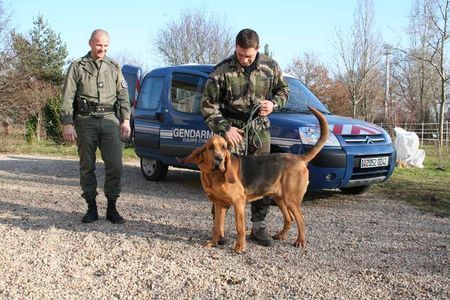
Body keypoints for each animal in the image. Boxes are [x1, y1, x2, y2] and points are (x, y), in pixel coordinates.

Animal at [182, 106, 326, 252]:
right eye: (210, 148)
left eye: (224, 148)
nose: (219, 159)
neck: (214, 175)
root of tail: (299, 158)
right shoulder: (219, 205)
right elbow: (217, 227)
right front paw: (213, 243)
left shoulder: (238, 203)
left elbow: (239, 227)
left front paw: (240, 246)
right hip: (280, 199)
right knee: (289, 218)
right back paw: (281, 235)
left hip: (291, 200)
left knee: (301, 220)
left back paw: (300, 241)